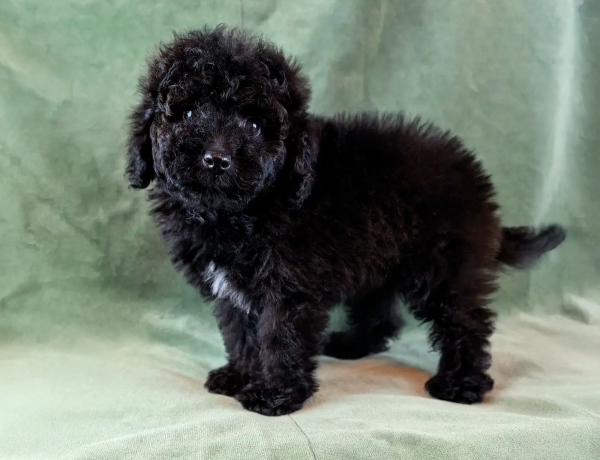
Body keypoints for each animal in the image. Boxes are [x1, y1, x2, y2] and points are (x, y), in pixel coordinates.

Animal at [125, 26, 565, 416]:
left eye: (254, 125)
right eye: (186, 112)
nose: (216, 159)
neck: (242, 212)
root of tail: (476, 182)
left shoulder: (290, 286)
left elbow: (280, 336)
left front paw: (274, 394)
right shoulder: (232, 289)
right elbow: (240, 331)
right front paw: (240, 375)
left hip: (445, 265)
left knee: (465, 320)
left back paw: (461, 384)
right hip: (379, 253)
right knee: (382, 309)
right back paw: (354, 345)